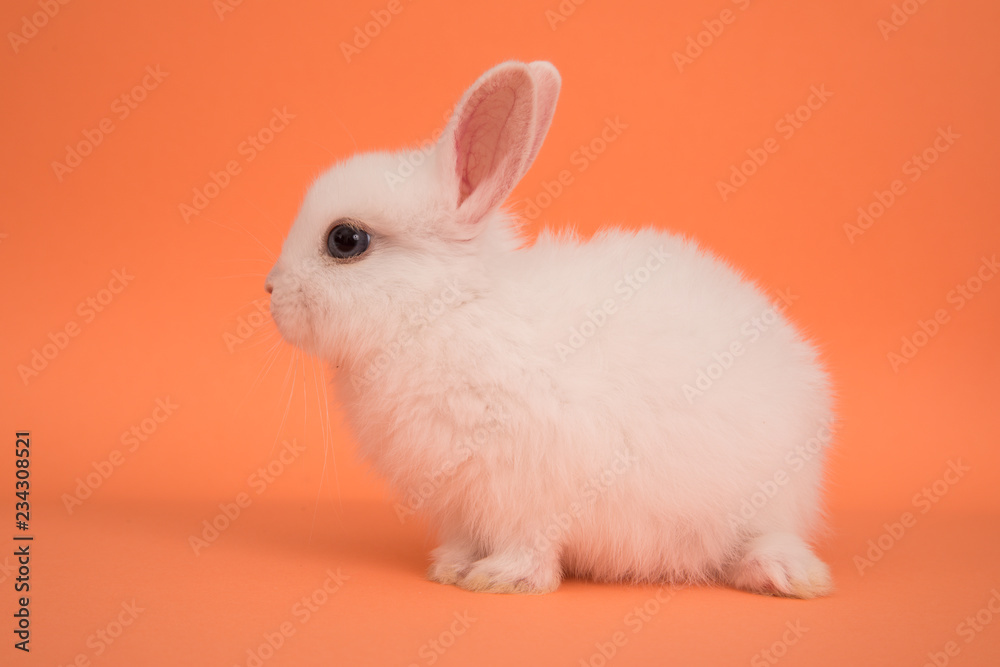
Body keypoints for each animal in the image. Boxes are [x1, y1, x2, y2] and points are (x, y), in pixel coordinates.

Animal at [265, 60, 835, 598]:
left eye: (345, 240)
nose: (270, 290)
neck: (444, 310)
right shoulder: (462, 502)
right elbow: (467, 538)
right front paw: (451, 568)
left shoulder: (526, 489)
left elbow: (528, 545)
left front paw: (500, 579)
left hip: (770, 497)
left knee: (769, 537)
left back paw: (785, 576)